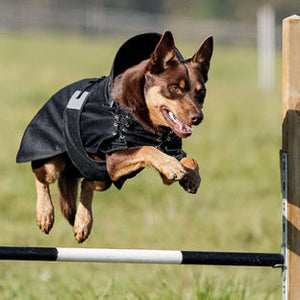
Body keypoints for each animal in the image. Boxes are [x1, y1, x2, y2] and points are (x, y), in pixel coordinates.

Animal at [17, 30, 213, 243]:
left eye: (201, 92)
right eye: (175, 88)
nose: (198, 118)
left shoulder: (163, 161)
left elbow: (190, 160)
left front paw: (192, 177)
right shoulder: (114, 158)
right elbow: (147, 149)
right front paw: (172, 165)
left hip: (102, 176)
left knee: (87, 183)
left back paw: (83, 222)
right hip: (52, 163)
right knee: (41, 177)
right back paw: (45, 214)